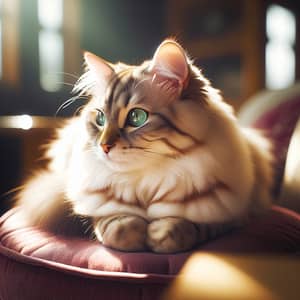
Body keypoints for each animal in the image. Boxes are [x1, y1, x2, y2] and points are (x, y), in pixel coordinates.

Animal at [16, 39, 274, 253]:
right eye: (100, 119)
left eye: (137, 117)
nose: (104, 146)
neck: (147, 181)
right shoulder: (93, 204)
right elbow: (114, 227)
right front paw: (138, 233)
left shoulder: (231, 215)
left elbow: (189, 227)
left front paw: (159, 234)